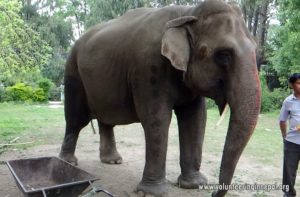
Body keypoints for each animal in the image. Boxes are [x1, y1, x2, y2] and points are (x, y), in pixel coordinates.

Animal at [58, 0, 260, 196]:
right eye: (224, 55)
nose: (213, 193)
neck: (188, 13)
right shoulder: (148, 67)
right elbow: (157, 118)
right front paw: (151, 192)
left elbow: (195, 119)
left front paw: (194, 184)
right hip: (73, 72)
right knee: (75, 119)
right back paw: (68, 163)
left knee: (105, 120)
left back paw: (113, 161)